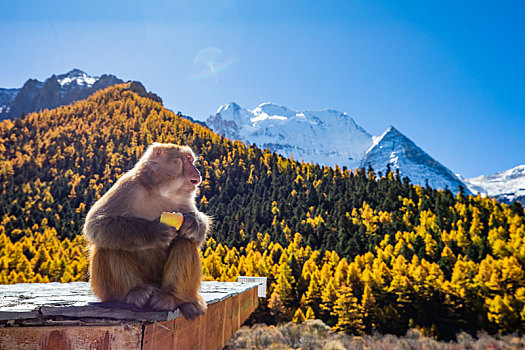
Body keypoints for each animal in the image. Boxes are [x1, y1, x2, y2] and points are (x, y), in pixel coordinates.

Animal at [83, 142, 210, 320]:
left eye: (192, 160)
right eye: (187, 159)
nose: (197, 173)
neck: (159, 191)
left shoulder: (184, 199)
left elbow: (196, 236)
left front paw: (192, 223)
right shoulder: (127, 185)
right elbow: (96, 224)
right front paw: (153, 231)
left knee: (184, 240)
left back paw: (172, 297)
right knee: (108, 242)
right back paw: (133, 294)